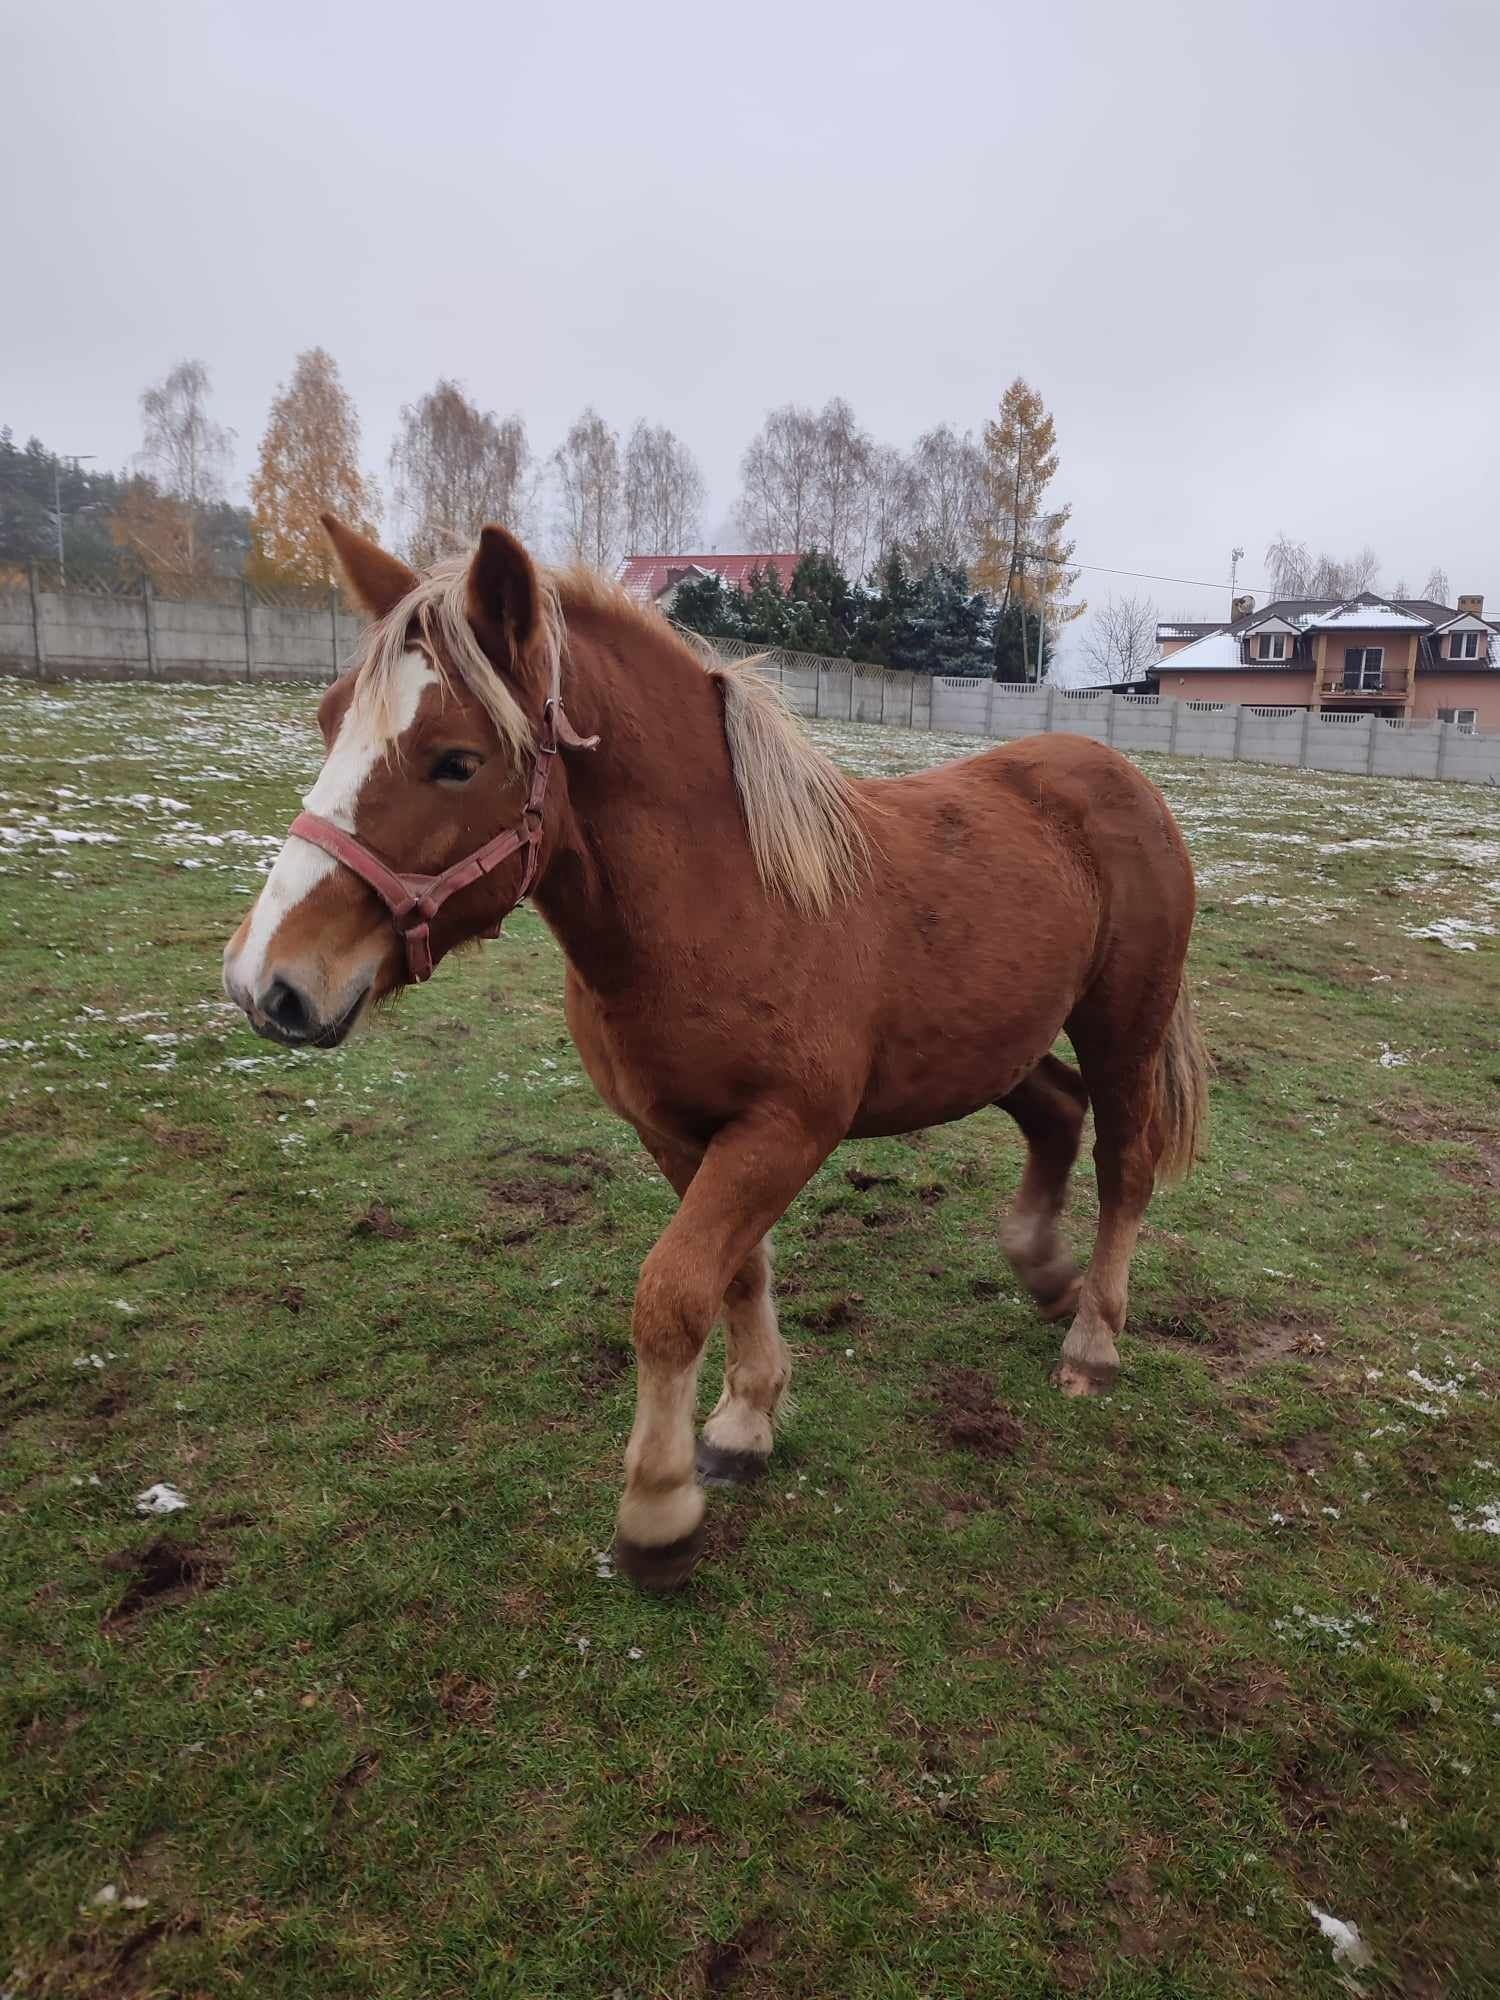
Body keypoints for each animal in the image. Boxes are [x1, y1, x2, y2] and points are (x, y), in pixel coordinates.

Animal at [223, 520, 1208, 1592]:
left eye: (455, 760)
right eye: (328, 722)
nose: (268, 984)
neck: (728, 899)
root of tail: (1117, 776)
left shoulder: (783, 1131)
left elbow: (672, 1295)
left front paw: (657, 1510)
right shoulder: (676, 1133)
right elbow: (732, 1277)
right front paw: (742, 1425)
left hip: (1122, 1027)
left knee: (1124, 1162)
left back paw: (1093, 1337)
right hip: (996, 1044)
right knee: (1057, 1114)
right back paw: (1045, 1273)